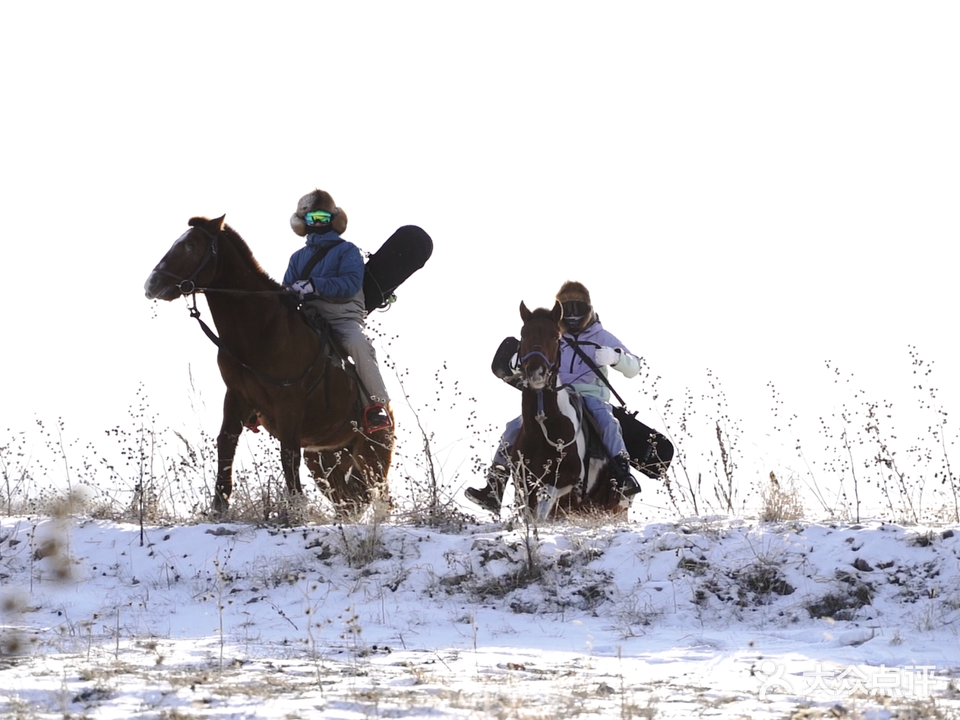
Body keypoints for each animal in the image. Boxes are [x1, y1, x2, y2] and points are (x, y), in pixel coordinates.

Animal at [142, 214, 390, 516]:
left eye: (190, 245)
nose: (151, 285)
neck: (259, 332)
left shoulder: (288, 404)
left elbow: (288, 455)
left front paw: (293, 510)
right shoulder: (236, 396)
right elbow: (226, 442)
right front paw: (219, 506)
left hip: (372, 457)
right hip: (326, 460)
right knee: (348, 500)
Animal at [510, 300, 624, 520]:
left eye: (556, 337)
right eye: (523, 334)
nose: (536, 371)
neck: (542, 429)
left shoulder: (563, 482)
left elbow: (544, 506)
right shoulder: (522, 483)